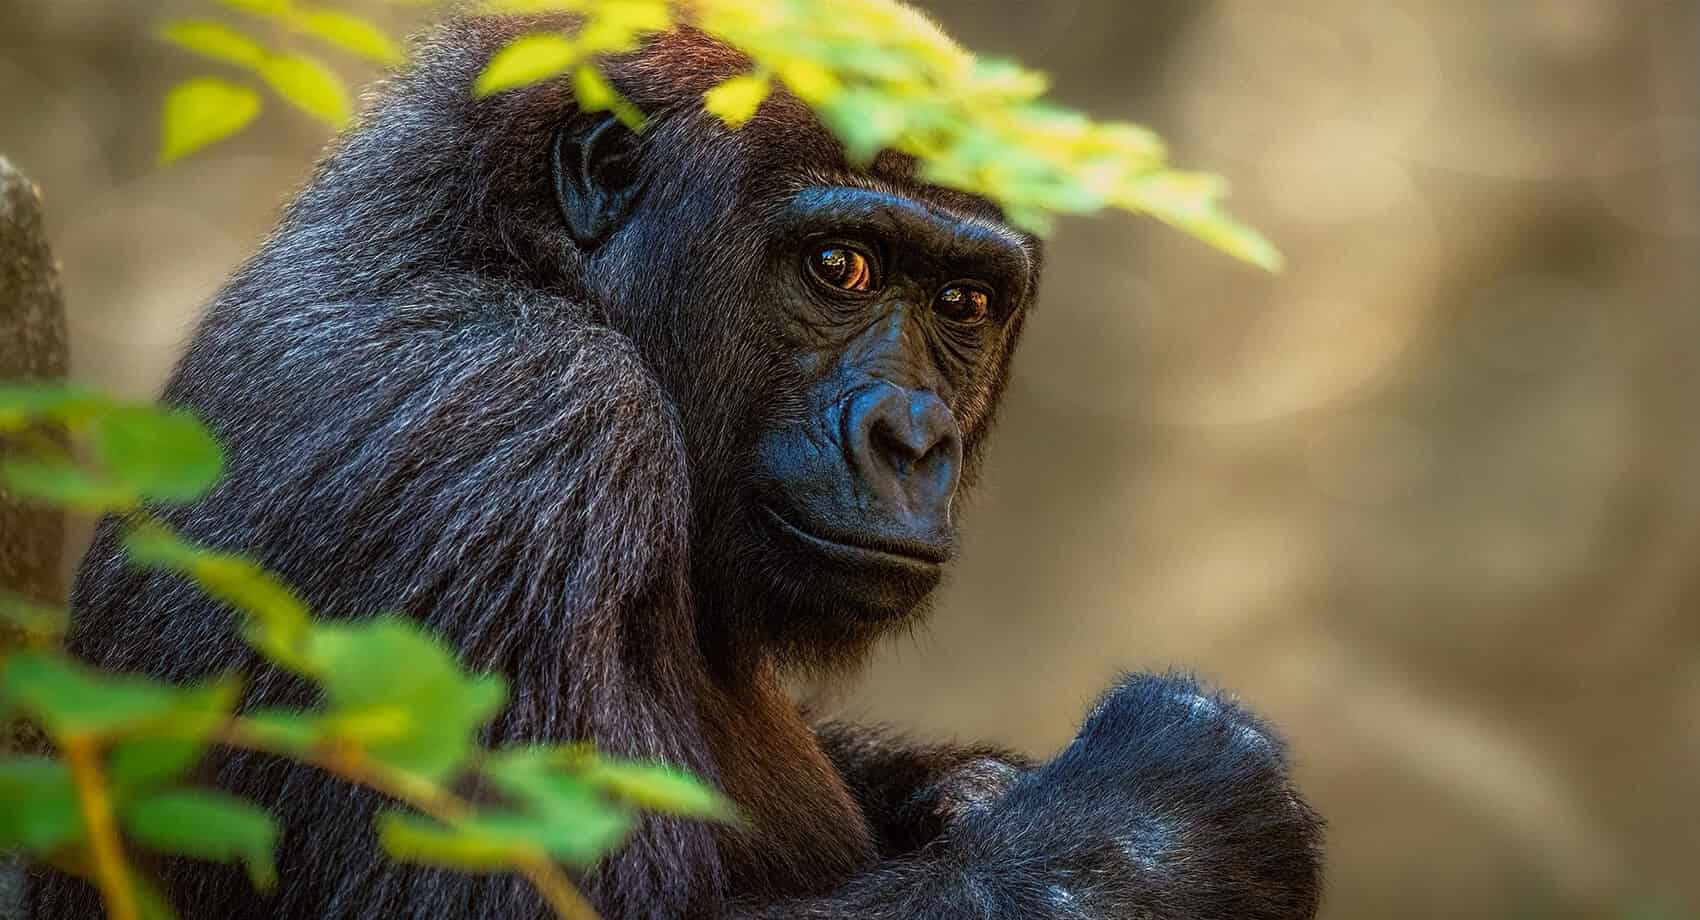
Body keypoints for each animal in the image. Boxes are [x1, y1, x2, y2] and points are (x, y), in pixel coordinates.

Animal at [30, 12, 1322, 919]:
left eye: (962, 303)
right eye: (839, 266)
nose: (913, 438)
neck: (492, 246)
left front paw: (973, 785)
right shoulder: (522, 428)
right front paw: (1169, 821)